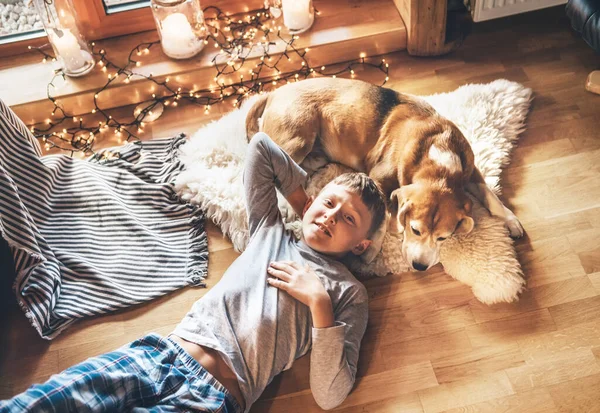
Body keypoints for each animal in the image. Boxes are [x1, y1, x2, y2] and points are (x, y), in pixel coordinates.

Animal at [246, 77, 524, 270]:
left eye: (444, 238)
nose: (420, 267)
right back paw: (286, 205)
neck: (438, 160)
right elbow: (381, 218)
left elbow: (490, 196)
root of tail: (274, 92)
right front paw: (373, 250)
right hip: (297, 139)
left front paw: (510, 219)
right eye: (415, 230)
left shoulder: (471, 170)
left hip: (314, 153)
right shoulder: (378, 179)